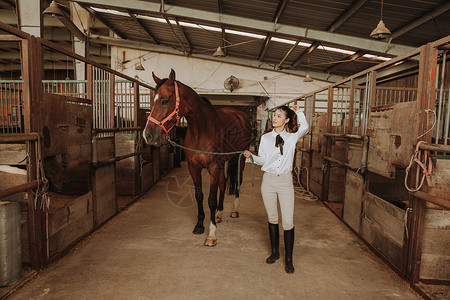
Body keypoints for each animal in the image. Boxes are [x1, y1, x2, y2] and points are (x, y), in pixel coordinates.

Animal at [142, 69, 251, 246]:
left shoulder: (213, 167)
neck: (201, 131)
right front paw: (200, 225)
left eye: (165, 101)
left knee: (237, 181)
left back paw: (234, 210)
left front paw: (211, 234)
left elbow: (211, 199)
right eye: (153, 101)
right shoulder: (194, 167)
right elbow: (199, 196)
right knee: (224, 182)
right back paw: (219, 214)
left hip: (240, 158)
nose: (148, 135)